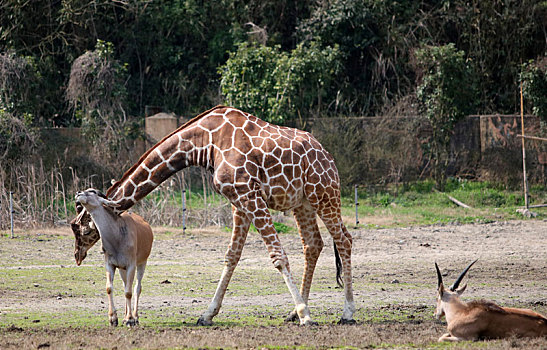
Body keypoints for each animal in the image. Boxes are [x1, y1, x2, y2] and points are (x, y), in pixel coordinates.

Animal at [74, 189, 153, 326]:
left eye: (92, 192)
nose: (78, 193)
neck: (117, 237)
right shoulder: (111, 264)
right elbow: (110, 288)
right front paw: (113, 318)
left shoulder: (131, 265)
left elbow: (129, 292)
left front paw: (130, 319)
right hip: (122, 269)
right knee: (126, 285)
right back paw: (125, 316)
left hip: (142, 263)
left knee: (137, 288)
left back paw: (135, 317)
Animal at [105, 104, 358, 326]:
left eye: (91, 224)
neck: (204, 143)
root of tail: (328, 156)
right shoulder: (239, 201)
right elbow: (231, 256)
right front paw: (206, 315)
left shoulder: (248, 194)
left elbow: (278, 255)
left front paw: (306, 316)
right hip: (302, 202)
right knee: (313, 244)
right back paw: (293, 313)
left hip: (323, 193)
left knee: (344, 239)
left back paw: (346, 313)